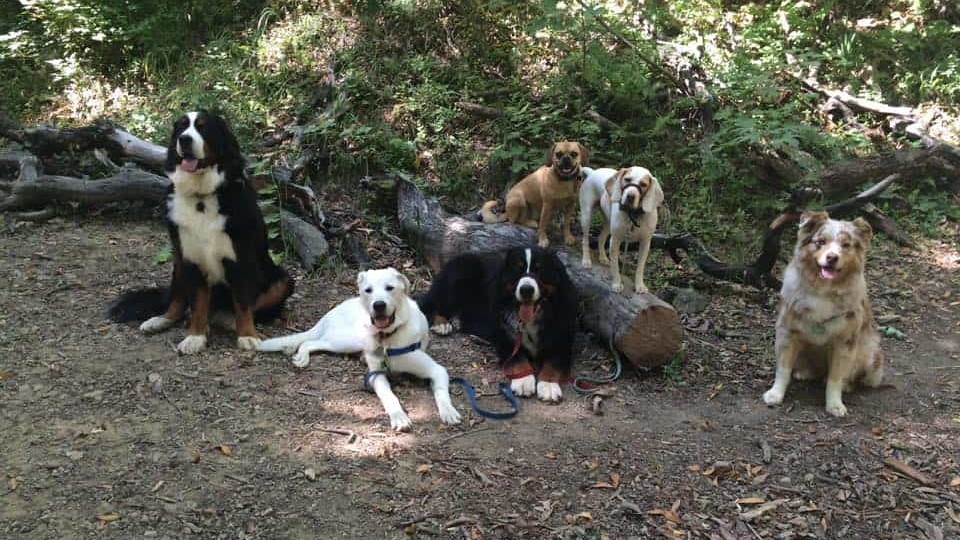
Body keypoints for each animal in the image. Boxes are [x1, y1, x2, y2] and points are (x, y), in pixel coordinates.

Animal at [108, 110, 292, 354]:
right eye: (181, 127)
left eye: (204, 127)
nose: (184, 140)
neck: (201, 197)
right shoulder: (190, 257)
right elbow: (197, 303)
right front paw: (194, 336)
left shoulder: (241, 258)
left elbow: (243, 303)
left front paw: (247, 335)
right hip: (178, 264)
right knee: (177, 300)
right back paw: (162, 319)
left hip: (282, 280)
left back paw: (227, 320)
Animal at [258, 268, 462, 432]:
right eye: (368, 290)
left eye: (390, 288)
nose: (378, 305)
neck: (387, 339)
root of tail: (329, 313)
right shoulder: (376, 376)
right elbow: (389, 397)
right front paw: (398, 416)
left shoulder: (437, 370)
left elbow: (441, 393)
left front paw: (448, 411)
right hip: (349, 340)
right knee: (310, 342)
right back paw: (302, 357)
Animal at [420, 247, 576, 402]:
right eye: (517, 270)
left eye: (540, 270)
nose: (526, 289)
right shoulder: (504, 337)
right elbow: (517, 358)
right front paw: (524, 381)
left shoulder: (561, 340)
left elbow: (553, 363)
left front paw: (548, 386)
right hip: (459, 276)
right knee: (432, 304)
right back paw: (442, 325)